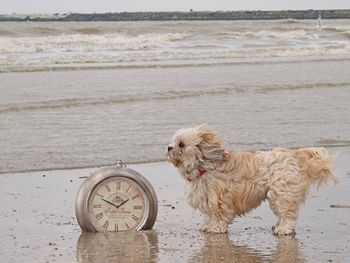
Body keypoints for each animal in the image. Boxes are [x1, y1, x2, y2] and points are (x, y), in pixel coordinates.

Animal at [167, 125, 336, 236]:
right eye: (173, 142)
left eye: (181, 144)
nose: (169, 147)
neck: (204, 167)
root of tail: (293, 156)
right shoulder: (207, 199)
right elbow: (209, 215)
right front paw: (207, 225)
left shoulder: (219, 199)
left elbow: (218, 215)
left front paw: (215, 228)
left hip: (280, 194)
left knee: (287, 214)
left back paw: (283, 229)